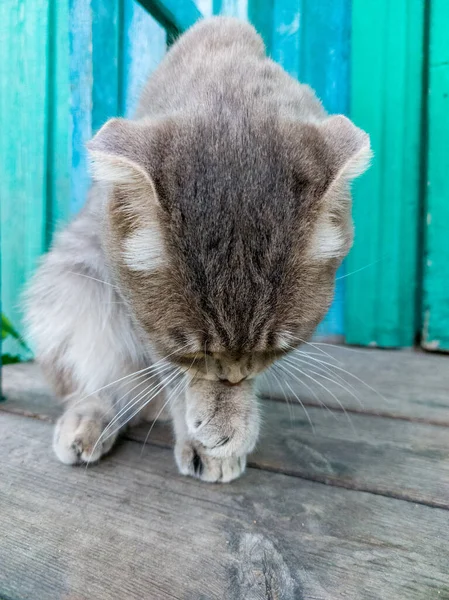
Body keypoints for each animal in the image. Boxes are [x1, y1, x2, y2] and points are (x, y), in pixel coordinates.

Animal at [24, 17, 370, 482]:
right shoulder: (136, 310)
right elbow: (173, 374)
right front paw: (210, 420)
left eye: (276, 347)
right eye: (193, 350)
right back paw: (90, 417)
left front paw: (231, 415)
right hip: (68, 282)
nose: (233, 375)